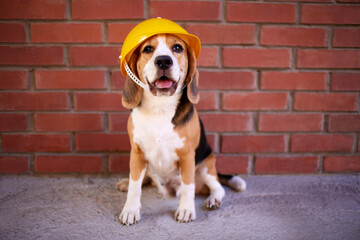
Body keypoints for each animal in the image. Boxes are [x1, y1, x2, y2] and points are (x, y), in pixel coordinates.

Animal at [116, 33, 246, 225]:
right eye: (148, 49)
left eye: (177, 48)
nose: (163, 61)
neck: (160, 107)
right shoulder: (137, 153)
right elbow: (135, 184)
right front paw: (130, 209)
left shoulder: (187, 156)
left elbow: (188, 186)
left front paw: (185, 209)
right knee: (144, 178)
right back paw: (126, 182)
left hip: (206, 165)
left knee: (217, 187)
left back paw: (213, 199)